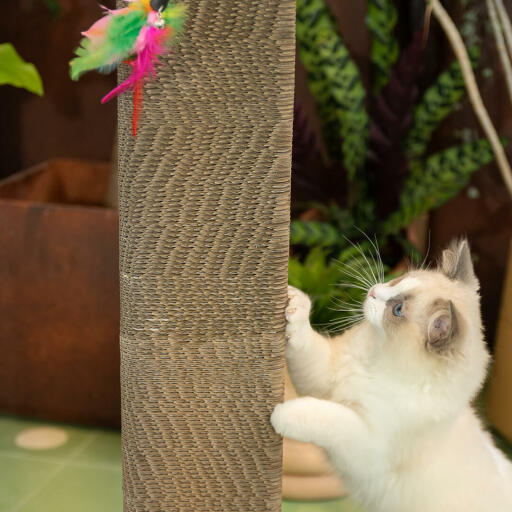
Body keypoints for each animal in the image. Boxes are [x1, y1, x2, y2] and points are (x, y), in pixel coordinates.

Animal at [270, 240, 512, 512]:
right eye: (399, 280)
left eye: (397, 310)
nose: (374, 291)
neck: (378, 361)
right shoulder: (327, 374)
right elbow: (304, 342)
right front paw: (295, 303)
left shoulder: (365, 444)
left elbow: (327, 416)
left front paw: (281, 414)